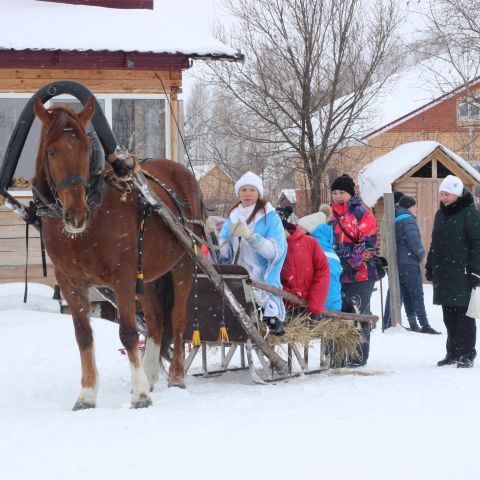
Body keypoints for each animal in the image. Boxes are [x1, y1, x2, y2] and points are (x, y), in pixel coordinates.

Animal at [32, 96, 203, 408]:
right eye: (51, 151)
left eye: (87, 149)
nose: (76, 215)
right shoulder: (70, 282)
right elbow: (83, 335)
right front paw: (87, 393)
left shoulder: (122, 278)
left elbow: (128, 332)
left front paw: (140, 394)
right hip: (147, 276)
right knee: (156, 320)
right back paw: (150, 374)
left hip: (183, 264)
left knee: (177, 318)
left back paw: (176, 377)